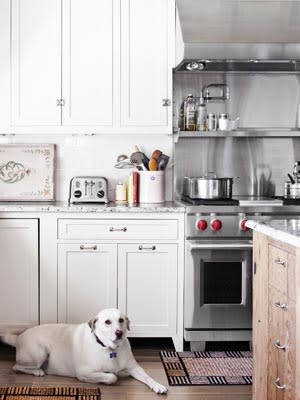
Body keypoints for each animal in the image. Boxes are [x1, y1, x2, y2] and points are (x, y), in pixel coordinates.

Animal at [1, 308, 168, 396]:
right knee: (16, 367)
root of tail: (20, 336)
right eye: (107, 322)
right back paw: (37, 371)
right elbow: (112, 376)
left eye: (121, 320)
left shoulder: (135, 367)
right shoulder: (84, 372)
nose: (119, 333)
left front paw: (158, 385)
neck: (109, 349)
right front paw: (111, 376)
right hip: (40, 352)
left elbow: (148, 377)